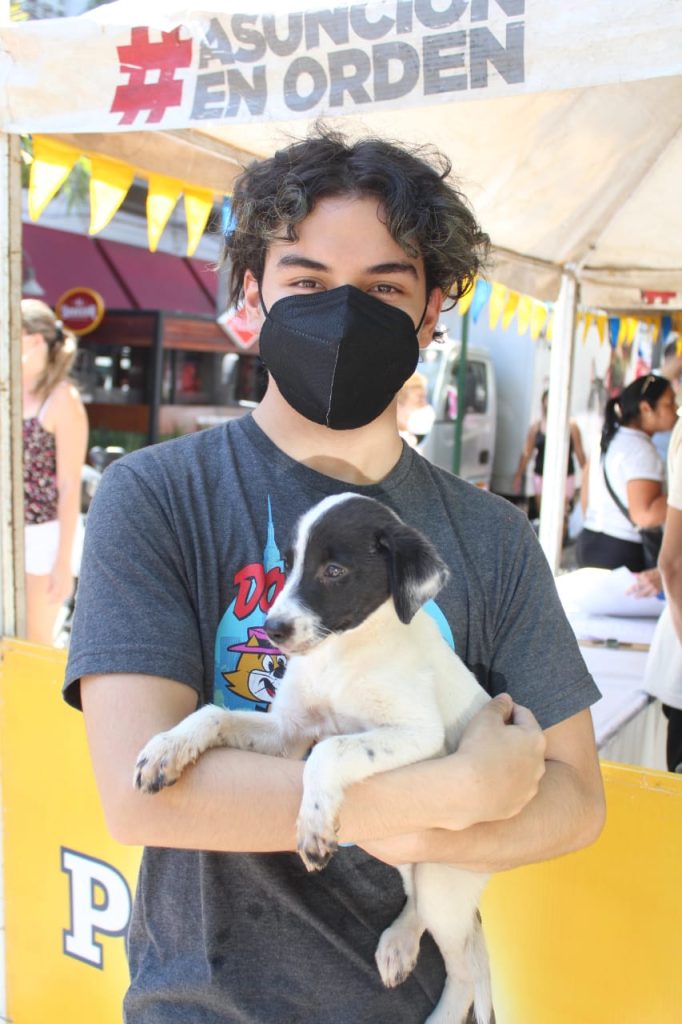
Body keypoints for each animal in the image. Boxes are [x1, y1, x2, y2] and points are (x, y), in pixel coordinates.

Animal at [134, 493, 493, 1024]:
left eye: (335, 570)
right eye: (288, 564)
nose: (271, 629)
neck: (341, 653)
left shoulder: (417, 733)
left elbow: (329, 748)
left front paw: (313, 825)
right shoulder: (287, 734)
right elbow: (212, 714)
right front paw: (167, 747)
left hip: (445, 879)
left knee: (464, 964)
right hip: (415, 859)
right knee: (417, 904)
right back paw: (399, 942)